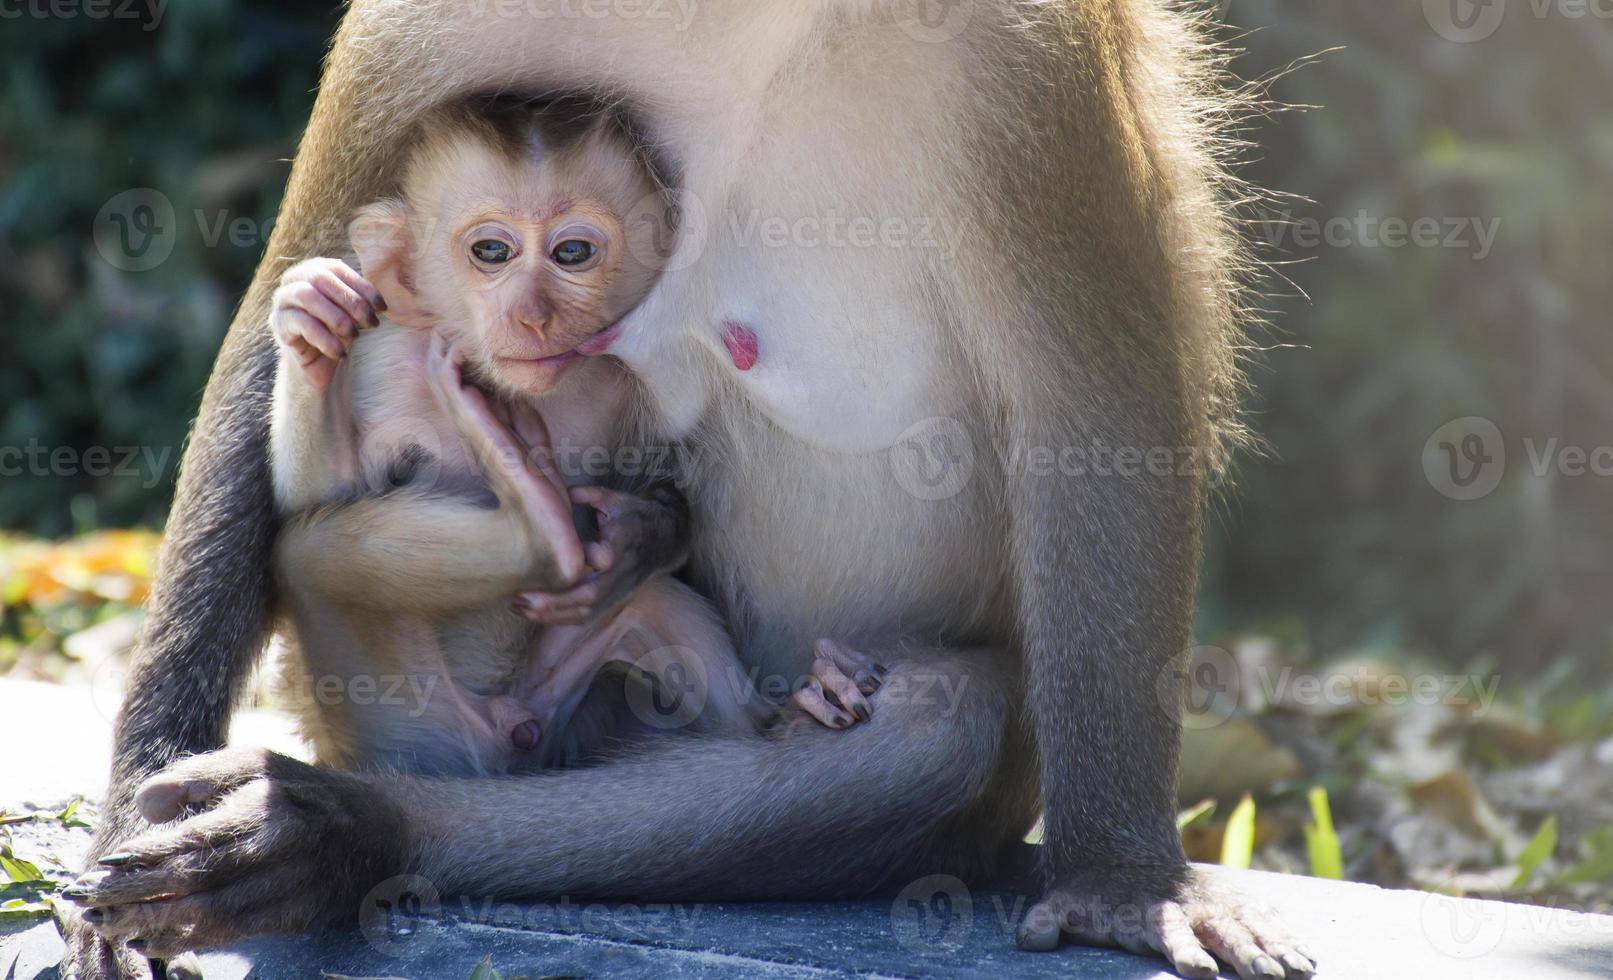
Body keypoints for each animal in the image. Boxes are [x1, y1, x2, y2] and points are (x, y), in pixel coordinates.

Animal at [270, 97, 877, 773]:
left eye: (573, 253)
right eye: (491, 250)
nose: (534, 316)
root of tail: (505, 738)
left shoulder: (635, 376)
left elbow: (664, 486)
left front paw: (640, 534)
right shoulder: (391, 361)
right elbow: (321, 499)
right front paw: (310, 324)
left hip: (546, 700)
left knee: (653, 603)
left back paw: (789, 711)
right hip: (402, 723)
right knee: (310, 553)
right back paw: (536, 526)